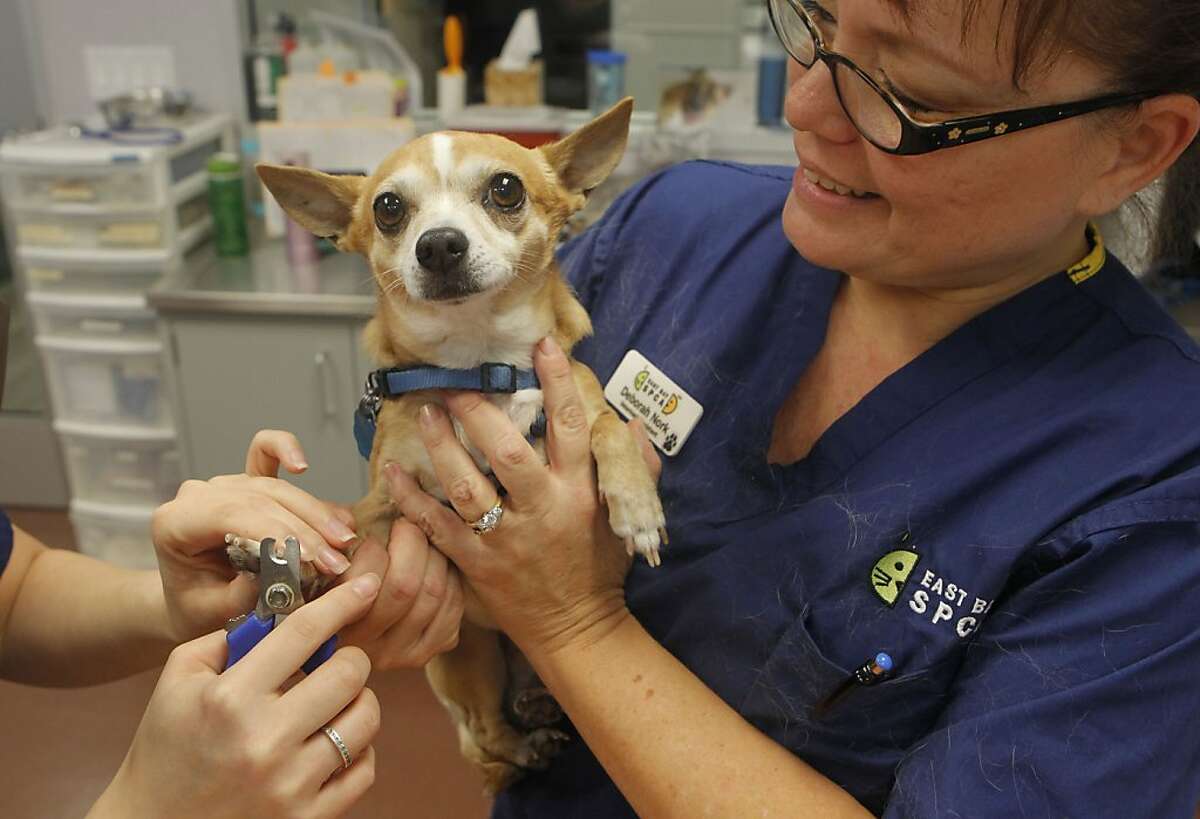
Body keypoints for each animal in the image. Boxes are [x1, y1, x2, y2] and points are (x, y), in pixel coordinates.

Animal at [253, 97, 667, 792]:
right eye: (388, 207)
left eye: (506, 189)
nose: (439, 244)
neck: (480, 363)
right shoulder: (390, 494)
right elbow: (350, 529)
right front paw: (303, 562)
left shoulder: (580, 400)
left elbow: (611, 427)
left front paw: (637, 507)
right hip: (470, 658)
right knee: (487, 733)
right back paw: (529, 740)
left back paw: (539, 709)